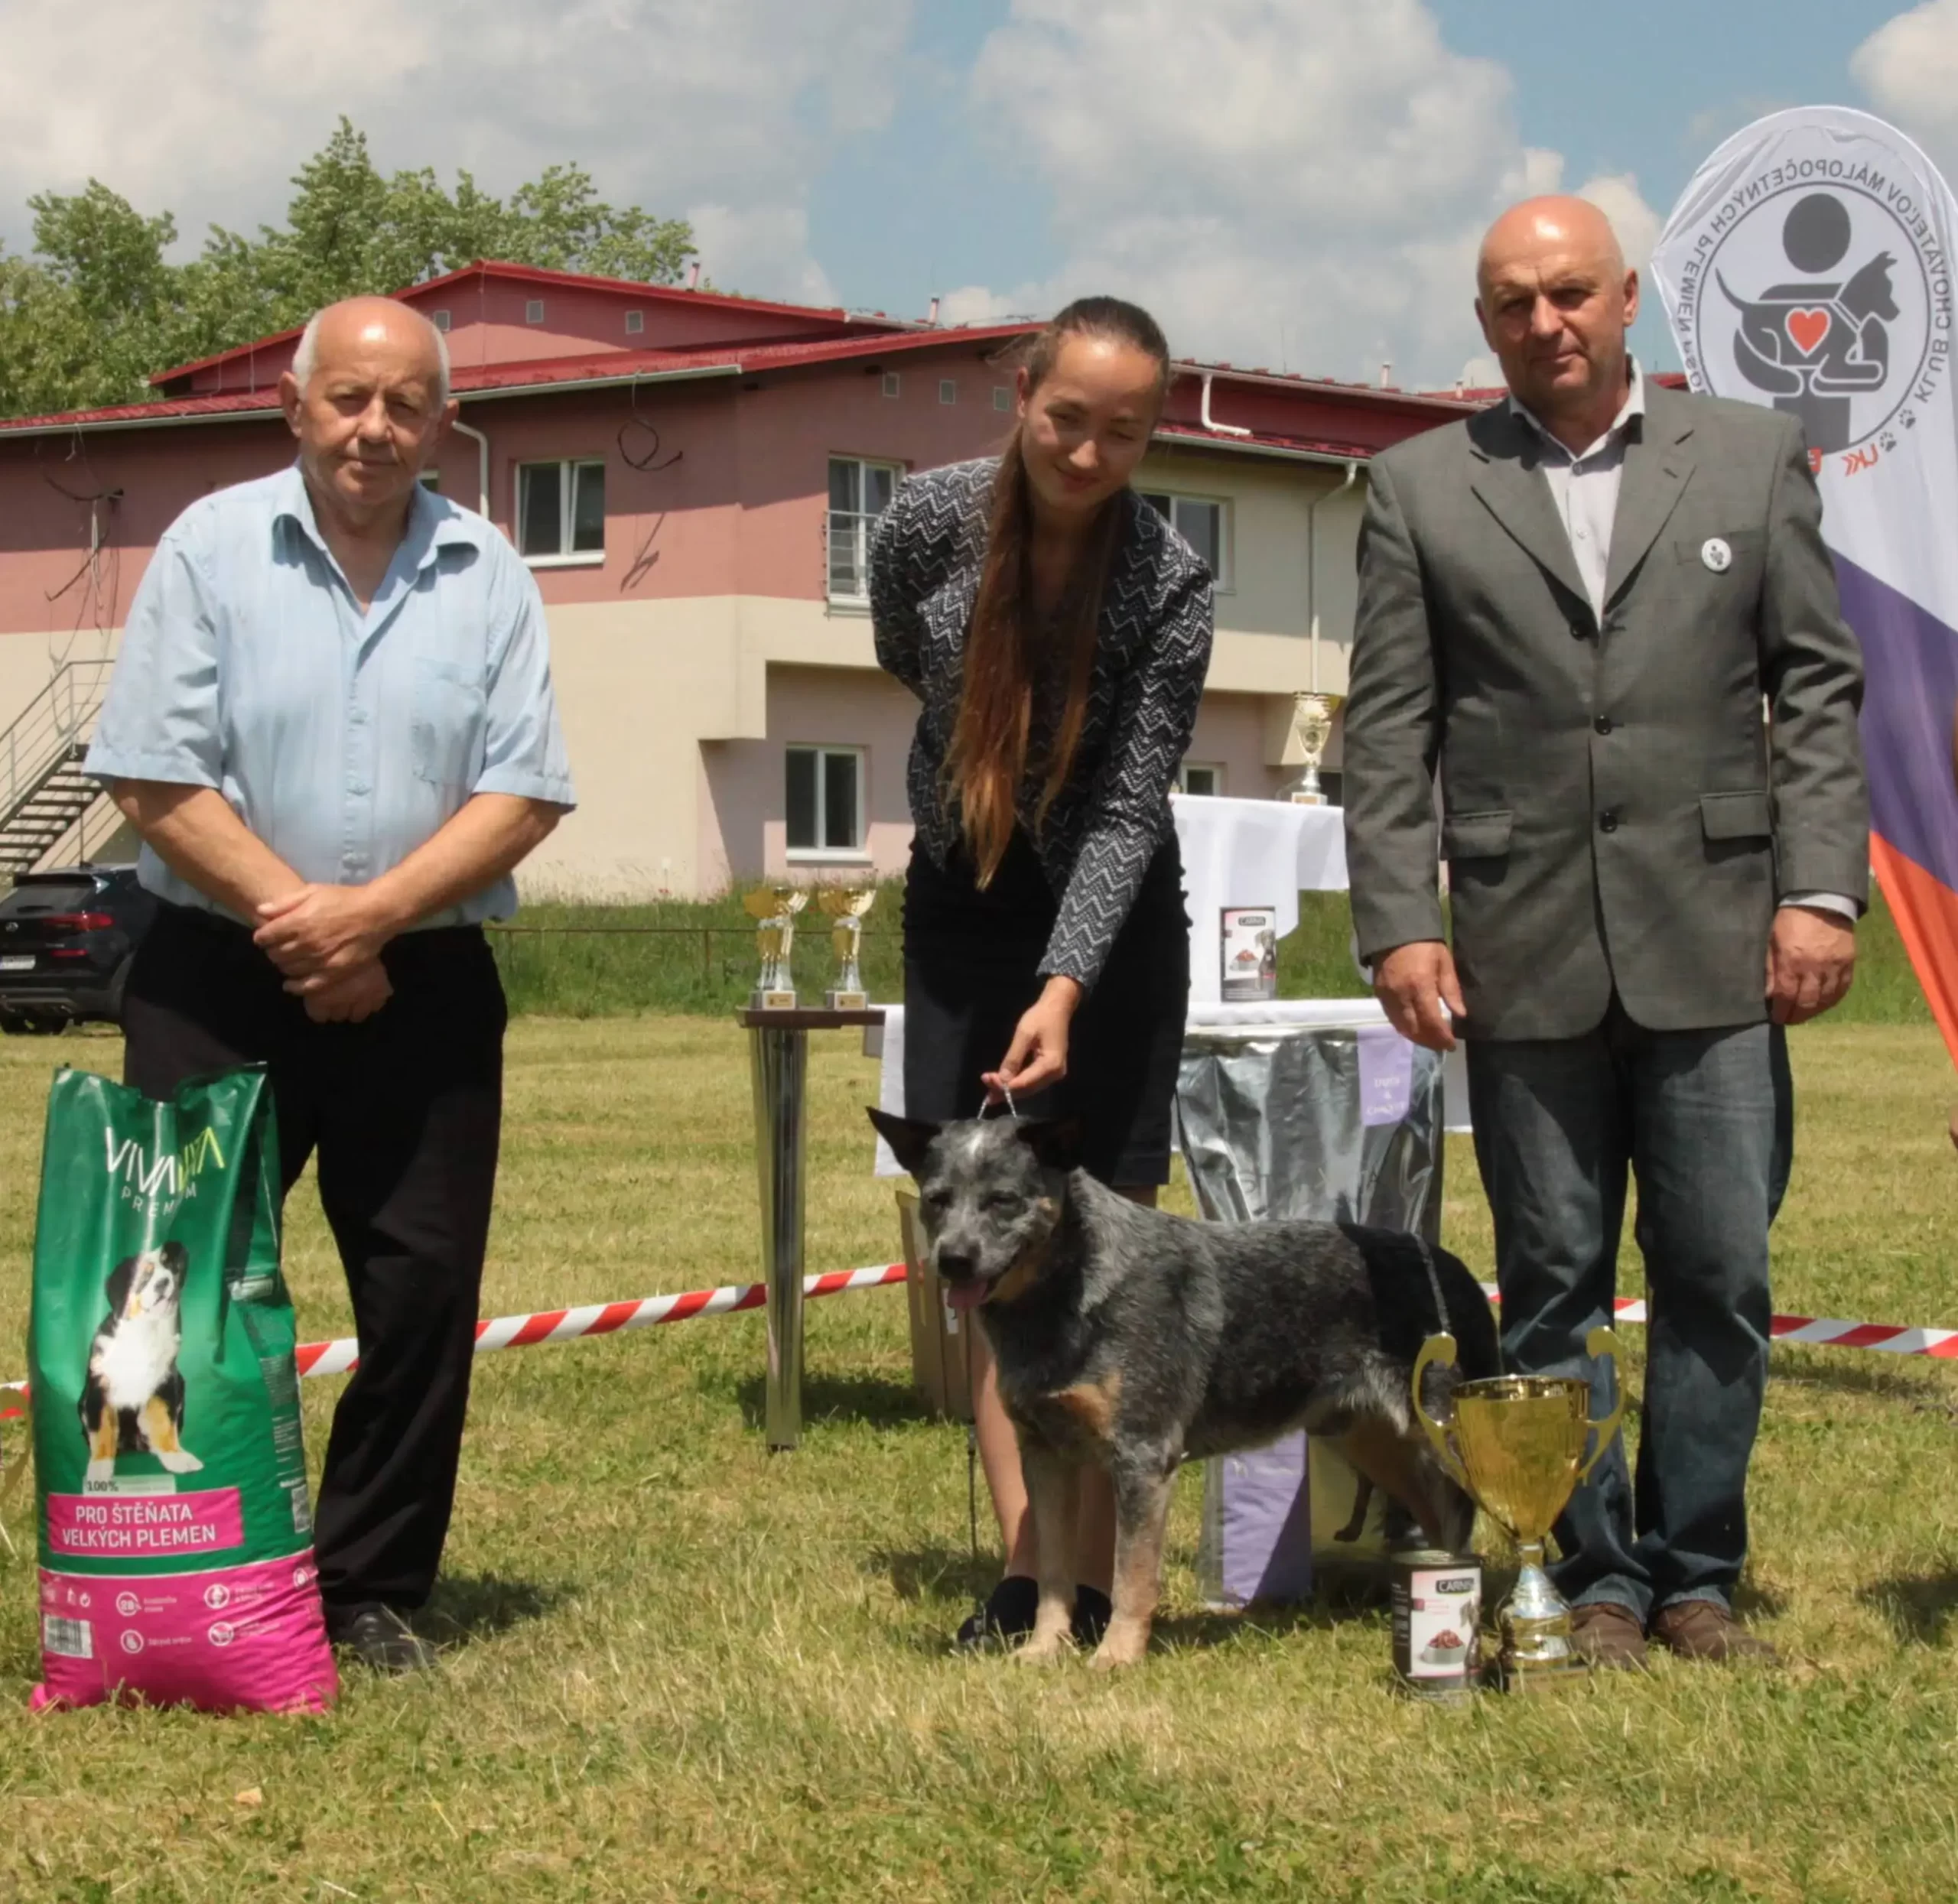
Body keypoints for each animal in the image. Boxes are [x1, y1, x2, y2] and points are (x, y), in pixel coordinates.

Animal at [865, 1103, 1488, 1675]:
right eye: (938, 1199)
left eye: (1003, 1200)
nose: (953, 1259)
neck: (1068, 1298)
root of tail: (1455, 1270)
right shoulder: (1045, 1455)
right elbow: (1053, 1572)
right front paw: (1043, 1650)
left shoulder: (1142, 1457)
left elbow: (1132, 1576)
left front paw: (1115, 1657)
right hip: (1377, 1445)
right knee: (1444, 1530)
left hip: (1441, 1439)